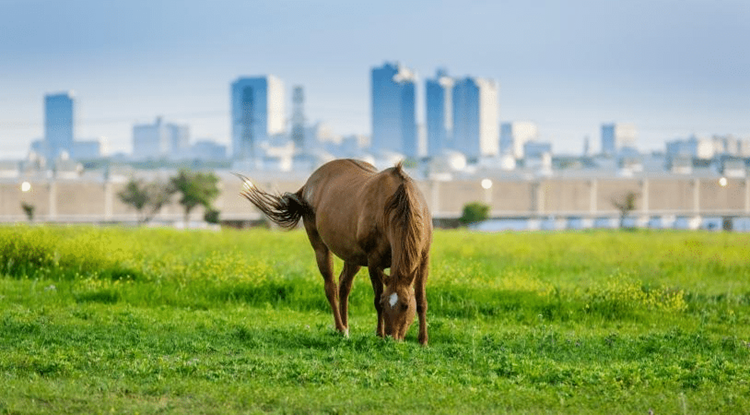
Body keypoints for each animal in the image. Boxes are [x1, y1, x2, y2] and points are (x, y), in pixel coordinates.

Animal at [236, 159, 432, 345]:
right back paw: (341, 329)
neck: (395, 205)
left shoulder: (423, 259)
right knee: (331, 287)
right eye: (385, 304)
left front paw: (423, 340)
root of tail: (307, 185)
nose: (393, 338)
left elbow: (421, 300)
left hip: (353, 257)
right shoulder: (374, 261)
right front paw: (379, 335)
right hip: (321, 248)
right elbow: (376, 298)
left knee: (344, 285)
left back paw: (346, 327)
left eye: (406, 305)